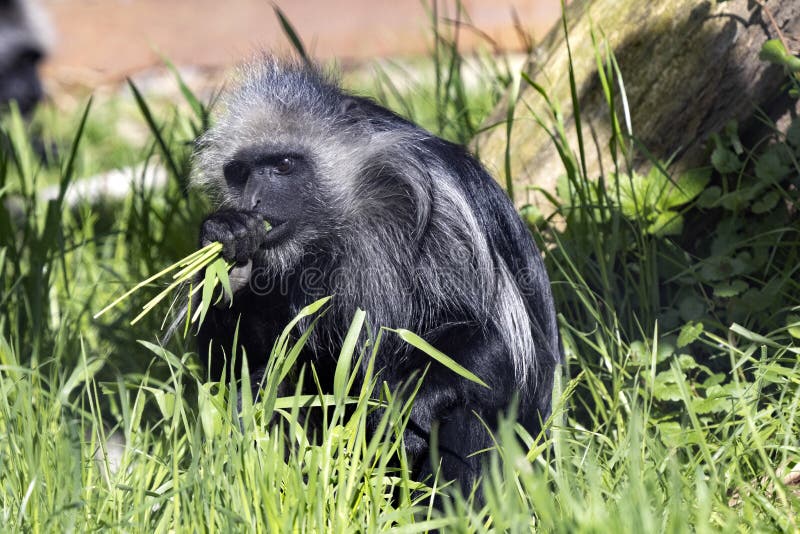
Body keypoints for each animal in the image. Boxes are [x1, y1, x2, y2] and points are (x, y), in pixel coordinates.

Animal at [192, 59, 564, 502]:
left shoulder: (447, 206)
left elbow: (500, 343)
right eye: (240, 173)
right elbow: (238, 359)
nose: (253, 202)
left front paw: (403, 413)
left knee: (470, 403)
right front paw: (228, 251)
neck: (346, 211)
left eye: (282, 165)